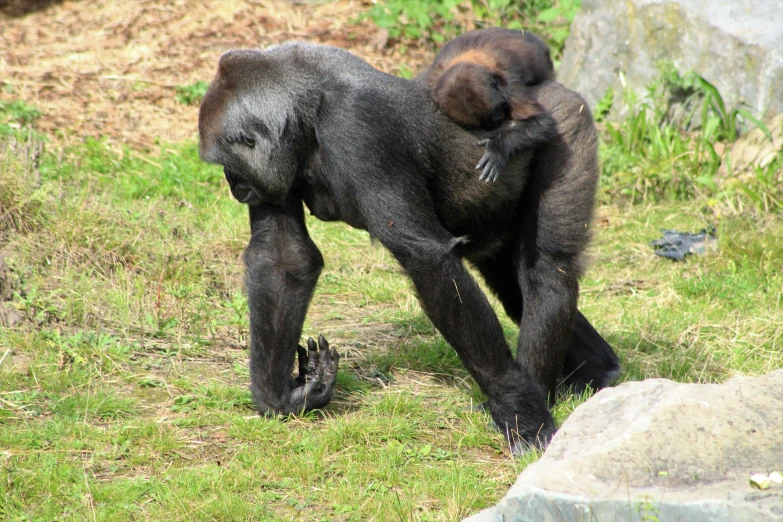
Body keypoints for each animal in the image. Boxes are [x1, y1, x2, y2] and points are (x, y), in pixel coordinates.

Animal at [416, 29, 556, 183]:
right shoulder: (430, 82)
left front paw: (498, 147)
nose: (497, 121)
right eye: (481, 124)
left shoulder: (509, 86)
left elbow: (542, 121)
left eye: (495, 110)